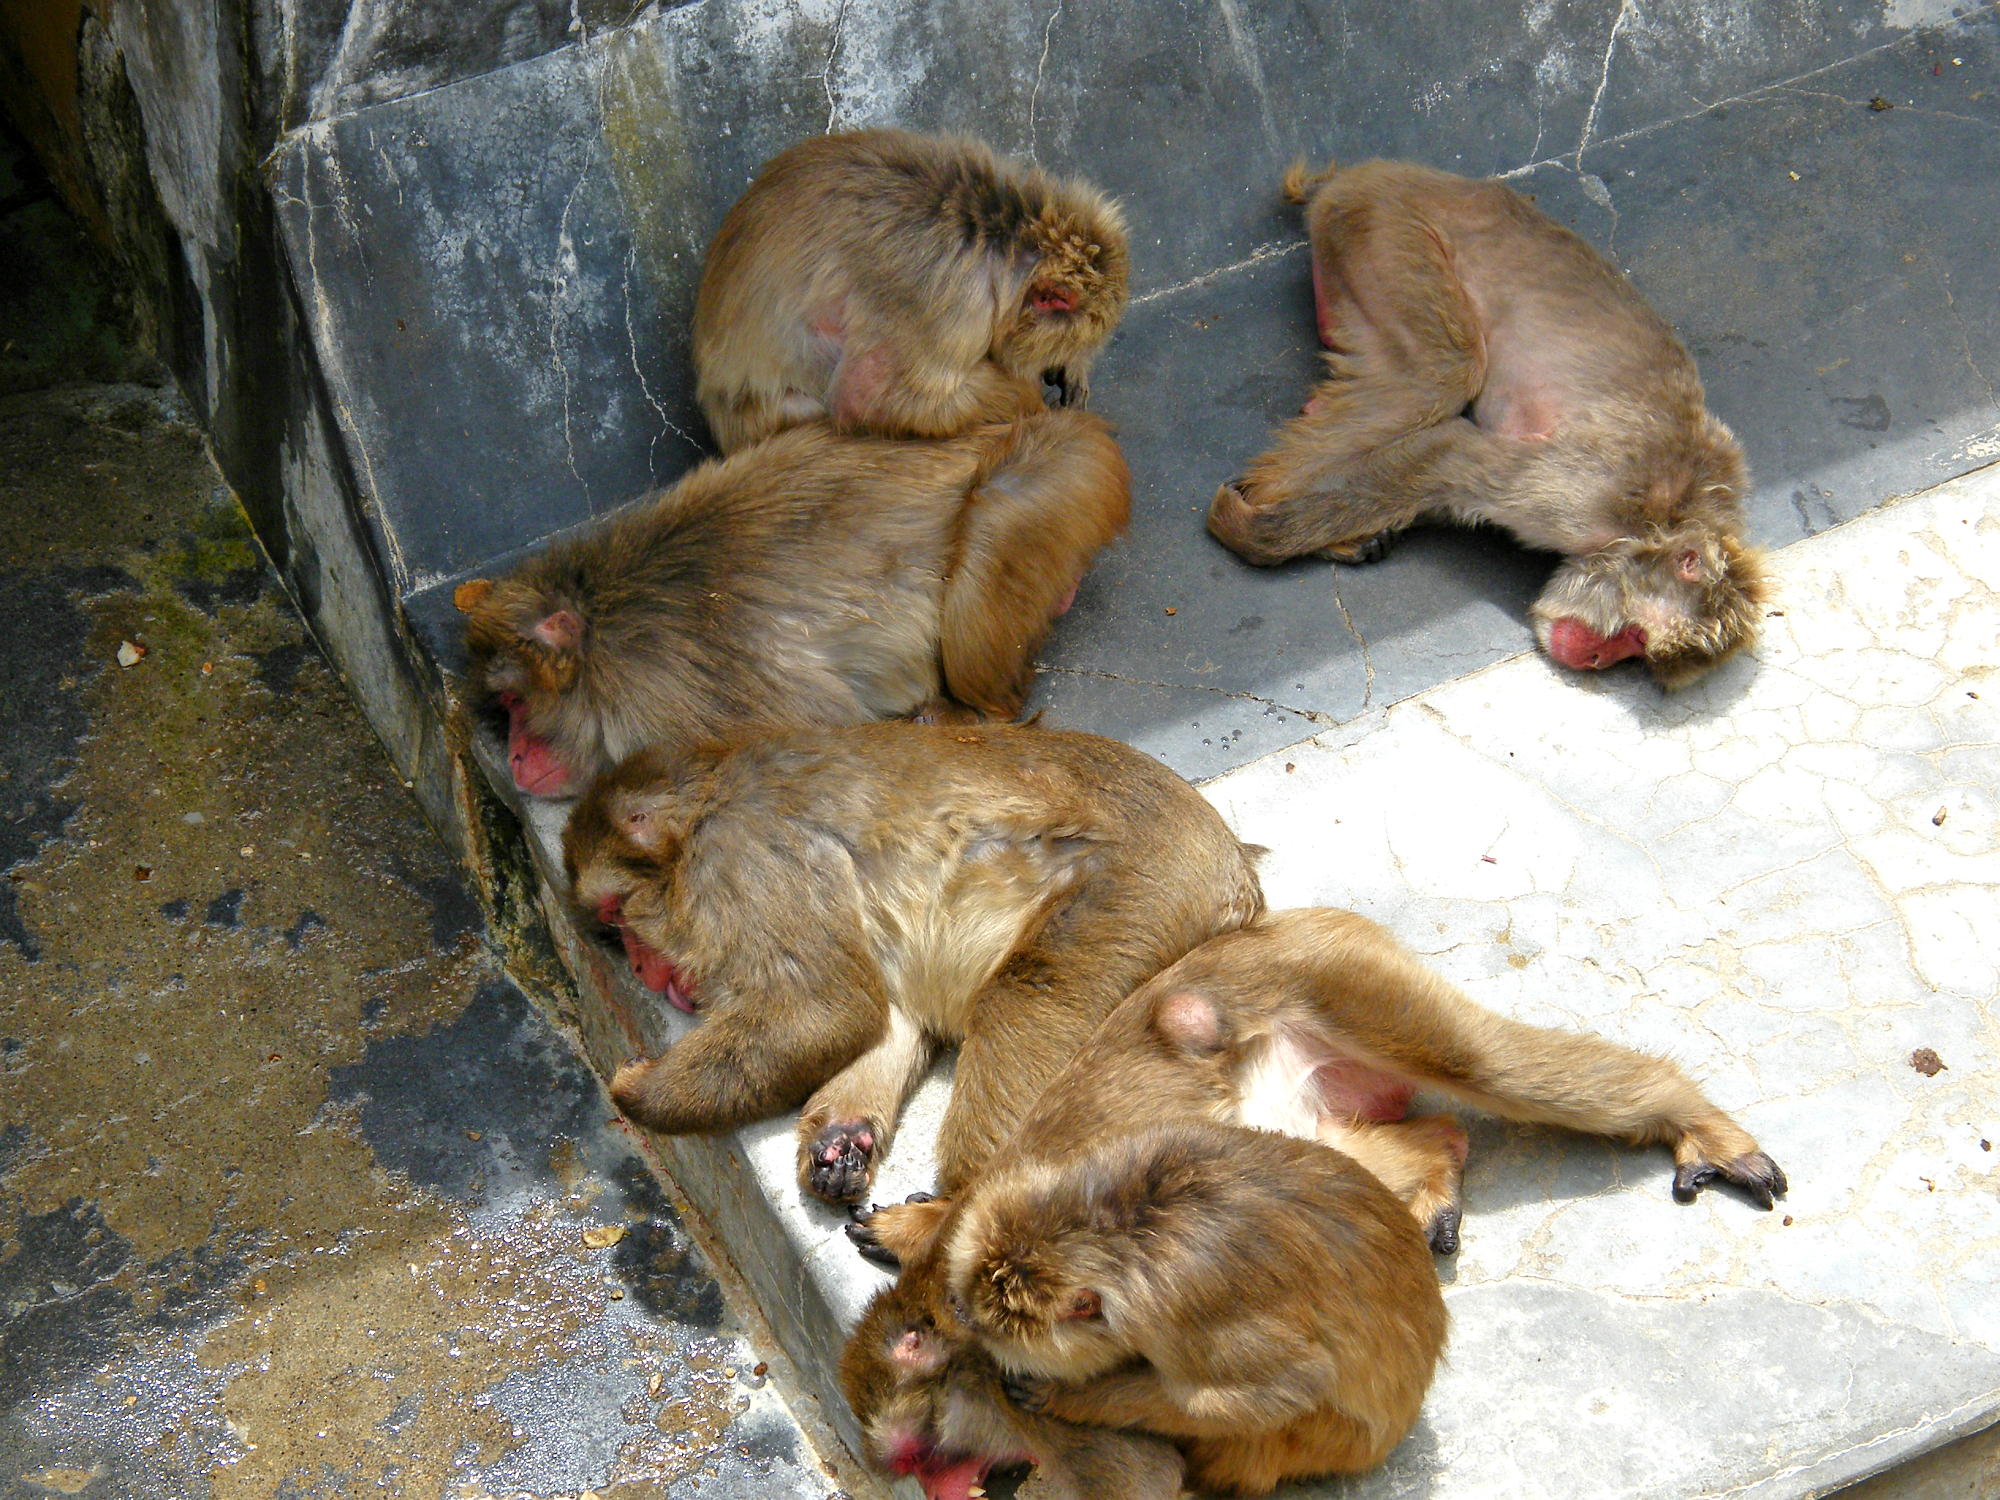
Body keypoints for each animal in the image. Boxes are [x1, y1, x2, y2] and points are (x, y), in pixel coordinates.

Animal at [456, 410, 1128, 798]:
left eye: (516, 703)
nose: (514, 754)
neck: (604, 633)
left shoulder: (681, 715)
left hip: (1062, 472)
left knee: (995, 518)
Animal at [562, 720, 1263, 1206]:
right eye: (611, 932)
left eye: (618, 915)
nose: (638, 969)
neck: (701, 815)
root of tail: (1236, 872)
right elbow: (881, 1017)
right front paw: (841, 1142)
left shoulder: (744, 855)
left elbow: (825, 1010)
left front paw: (635, 1091)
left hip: (1144, 887)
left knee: (1025, 998)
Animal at [843, 907, 1786, 1496]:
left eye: (917, 1458)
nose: (932, 1486)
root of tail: (1263, 925)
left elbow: (1139, 1464)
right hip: (1307, 1083)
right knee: (1371, 1146)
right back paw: (1435, 1161)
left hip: (1340, 976)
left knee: (1491, 1064)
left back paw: (1685, 1114)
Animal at [1207, 159, 1770, 690]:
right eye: (1635, 638)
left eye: (1637, 657)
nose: (1593, 660)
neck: (1669, 518)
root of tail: (1370, 173)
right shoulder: (1582, 498)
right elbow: (1449, 454)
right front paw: (1254, 533)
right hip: (1384, 226)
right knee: (1438, 375)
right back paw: (1260, 503)